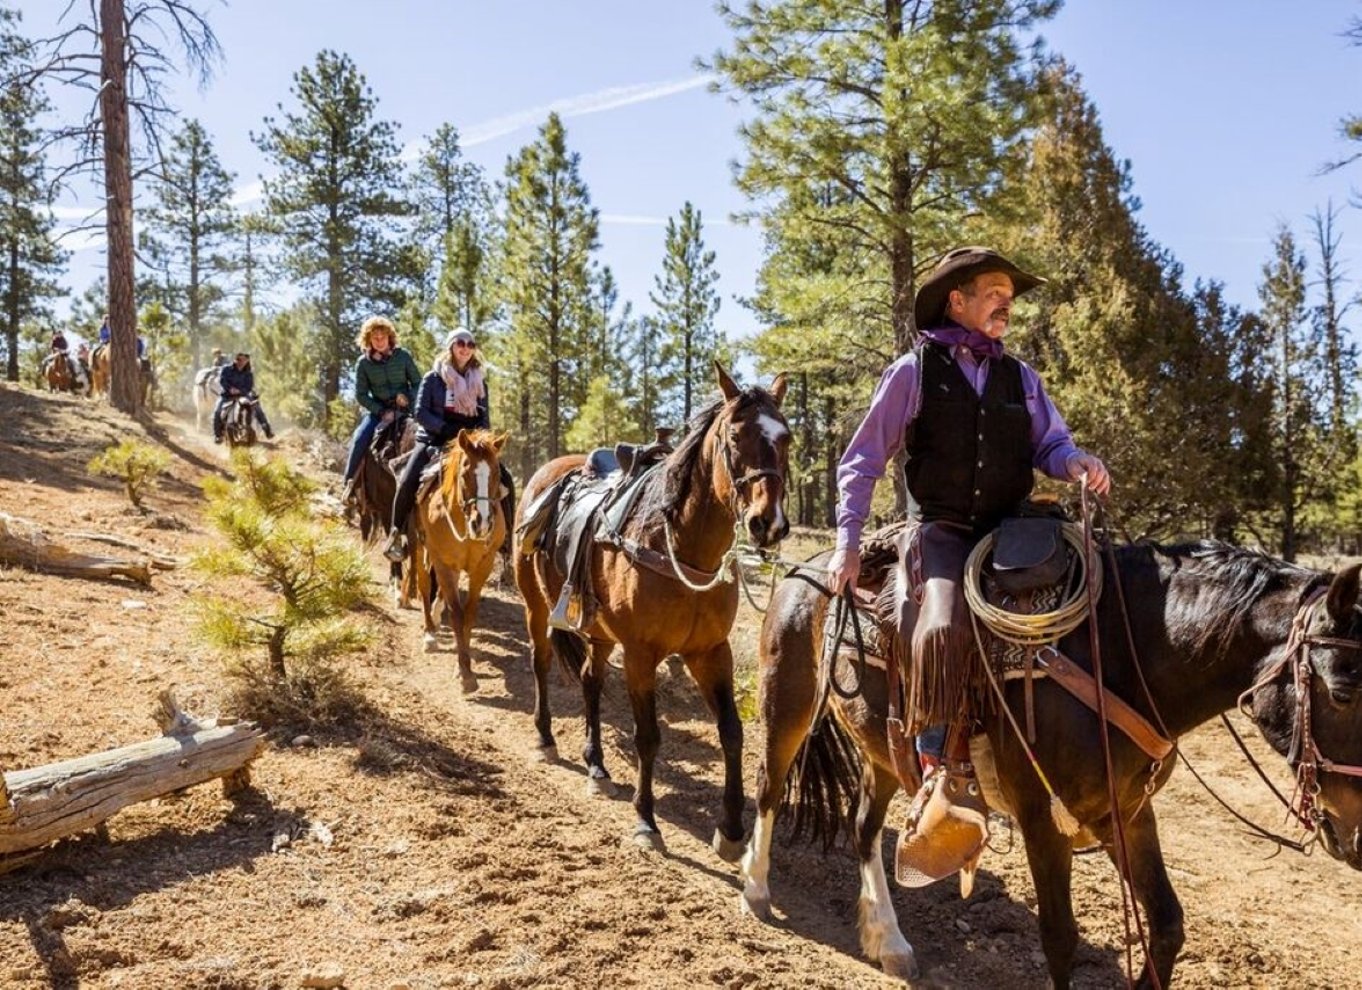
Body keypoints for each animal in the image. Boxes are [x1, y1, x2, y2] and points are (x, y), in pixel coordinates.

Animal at [411, 430, 509, 694]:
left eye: (497, 474)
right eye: (466, 472)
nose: (482, 523)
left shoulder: (483, 566)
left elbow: (470, 612)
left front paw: (463, 664)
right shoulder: (442, 562)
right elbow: (456, 613)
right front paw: (465, 673)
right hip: (419, 546)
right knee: (424, 585)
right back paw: (429, 633)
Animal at [512, 367, 795, 855]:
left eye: (787, 438)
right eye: (734, 436)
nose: (768, 522)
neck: (679, 547)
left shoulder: (709, 652)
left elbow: (731, 732)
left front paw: (731, 829)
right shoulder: (641, 655)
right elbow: (648, 737)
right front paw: (646, 819)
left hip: (599, 631)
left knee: (590, 680)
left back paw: (597, 765)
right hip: (536, 606)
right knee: (540, 662)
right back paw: (545, 738)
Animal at [740, 539, 1362, 985]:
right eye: (1342, 693)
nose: (1357, 842)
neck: (1117, 657)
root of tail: (806, 569)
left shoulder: (1124, 813)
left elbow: (1166, 925)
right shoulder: (1042, 819)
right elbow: (1060, 939)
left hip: (886, 752)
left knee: (864, 827)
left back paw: (889, 943)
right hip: (786, 702)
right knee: (769, 787)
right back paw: (756, 889)